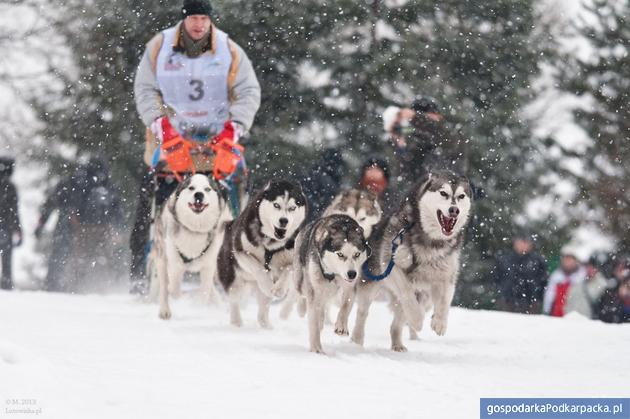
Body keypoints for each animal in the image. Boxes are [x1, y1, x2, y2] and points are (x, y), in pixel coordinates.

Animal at [154, 176, 230, 320]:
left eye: (207, 189)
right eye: (191, 188)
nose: (199, 194)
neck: (195, 230)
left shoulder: (209, 265)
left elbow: (205, 291)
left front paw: (198, 303)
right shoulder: (175, 264)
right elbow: (174, 289)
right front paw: (176, 292)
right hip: (162, 258)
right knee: (164, 287)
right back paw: (164, 310)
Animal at [218, 180, 308, 328]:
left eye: (292, 208)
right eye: (276, 205)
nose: (284, 221)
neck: (271, 244)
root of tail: (230, 225)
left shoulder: (293, 258)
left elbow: (288, 269)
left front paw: (279, 289)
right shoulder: (240, 252)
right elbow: (258, 268)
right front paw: (267, 283)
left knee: (262, 310)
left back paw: (267, 327)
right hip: (233, 279)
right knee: (234, 301)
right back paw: (237, 323)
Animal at [296, 215, 370, 356]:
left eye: (357, 254)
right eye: (340, 254)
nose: (352, 274)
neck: (334, 275)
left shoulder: (350, 288)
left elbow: (346, 305)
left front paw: (341, 326)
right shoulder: (314, 291)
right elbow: (313, 323)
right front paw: (316, 349)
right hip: (300, 283)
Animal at [350, 170, 474, 352]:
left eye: (461, 196)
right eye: (443, 193)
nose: (454, 210)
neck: (430, 241)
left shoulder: (446, 274)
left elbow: (445, 300)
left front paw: (440, 323)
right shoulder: (391, 265)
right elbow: (407, 292)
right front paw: (417, 319)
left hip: (424, 296)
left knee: (396, 324)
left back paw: (398, 344)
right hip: (371, 284)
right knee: (363, 314)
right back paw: (357, 340)